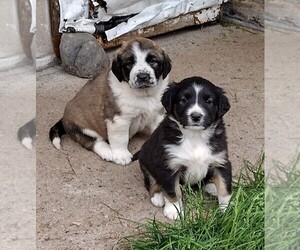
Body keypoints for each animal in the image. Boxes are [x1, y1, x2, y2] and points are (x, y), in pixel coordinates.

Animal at [49, 37, 171, 165]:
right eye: (129, 63)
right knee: (94, 142)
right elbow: (120, 139)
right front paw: (121, 155)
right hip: (83, 128)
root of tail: (64, 118)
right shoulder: (118, 119)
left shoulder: (157, 114)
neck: (144, 94)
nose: (143, 76)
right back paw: (107, 152)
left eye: (153, 61)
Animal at [135, 76, 233, 219]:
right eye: (184, 100)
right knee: (151, 182)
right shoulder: (169, 166)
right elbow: (173, 191)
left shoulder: (220, 161)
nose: (196, 116)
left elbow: (225, 188)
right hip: (146, 160)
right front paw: (174, 210)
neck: (195, 137)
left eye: (209, 101)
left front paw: (228, 209)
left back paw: (212, 186)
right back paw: (157, 196)